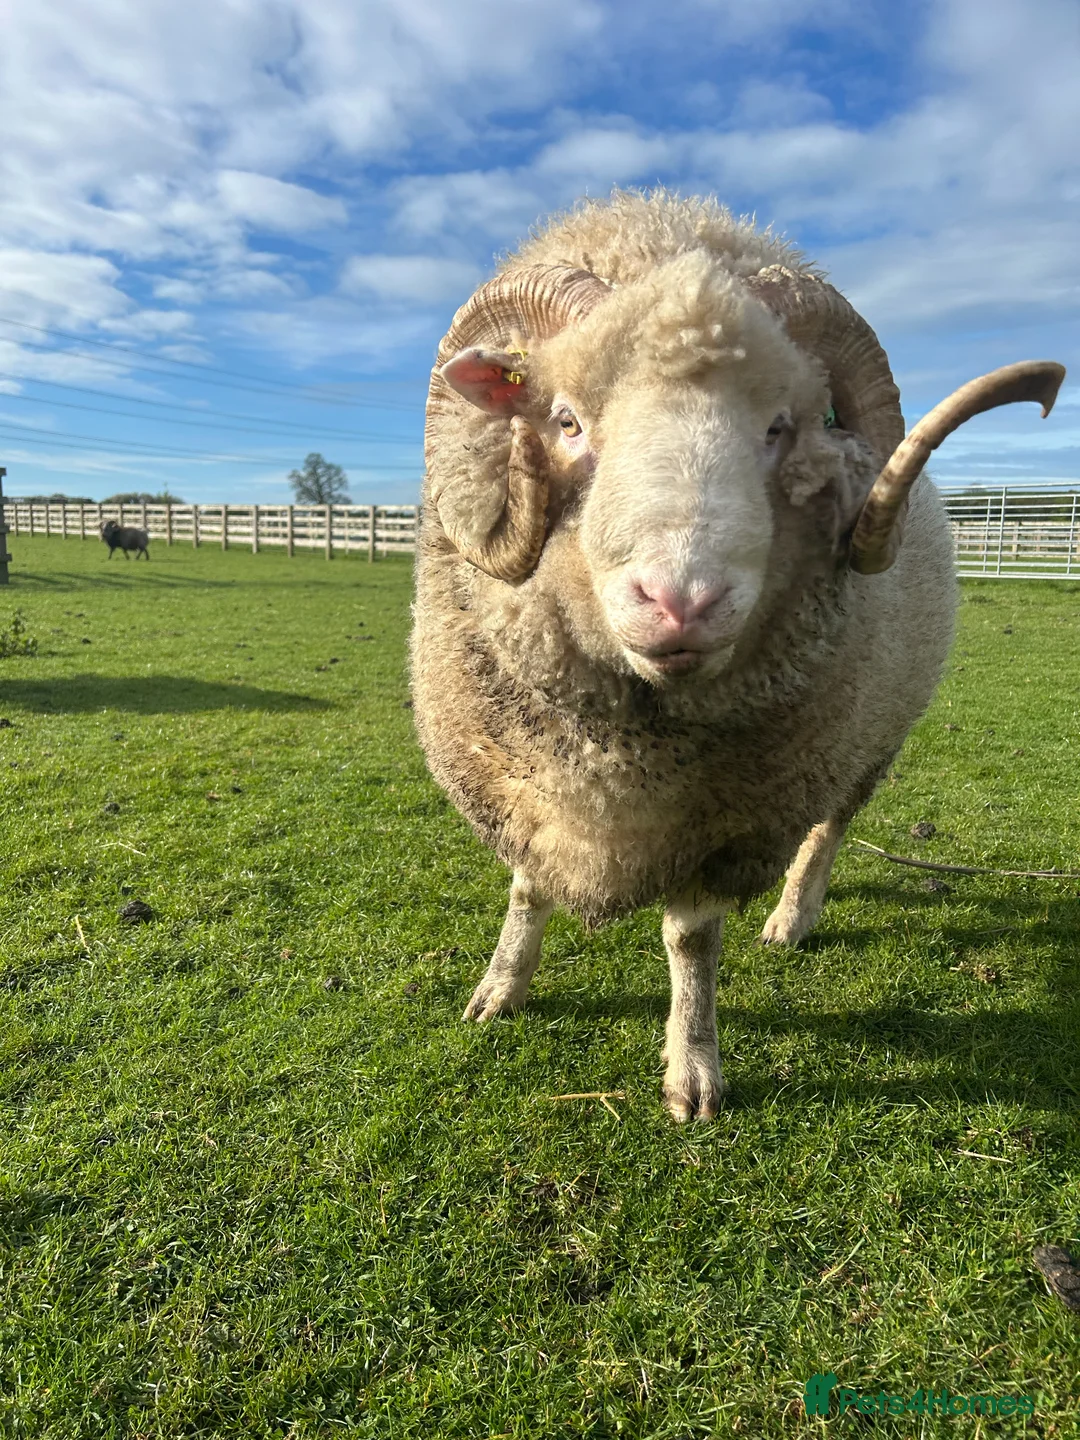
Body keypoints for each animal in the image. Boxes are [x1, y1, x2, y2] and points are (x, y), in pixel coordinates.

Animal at [410, 191, 1065, 1121]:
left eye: (780, 429)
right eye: (565, 421)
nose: (681, 602)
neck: (624, 750)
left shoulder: (725, 824)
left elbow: (690, 942)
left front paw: (692, 1069)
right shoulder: (518, 785)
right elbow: (529, 888)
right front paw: (501, 989)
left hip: (872, 735)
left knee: (829, 828)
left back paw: (793, 915)